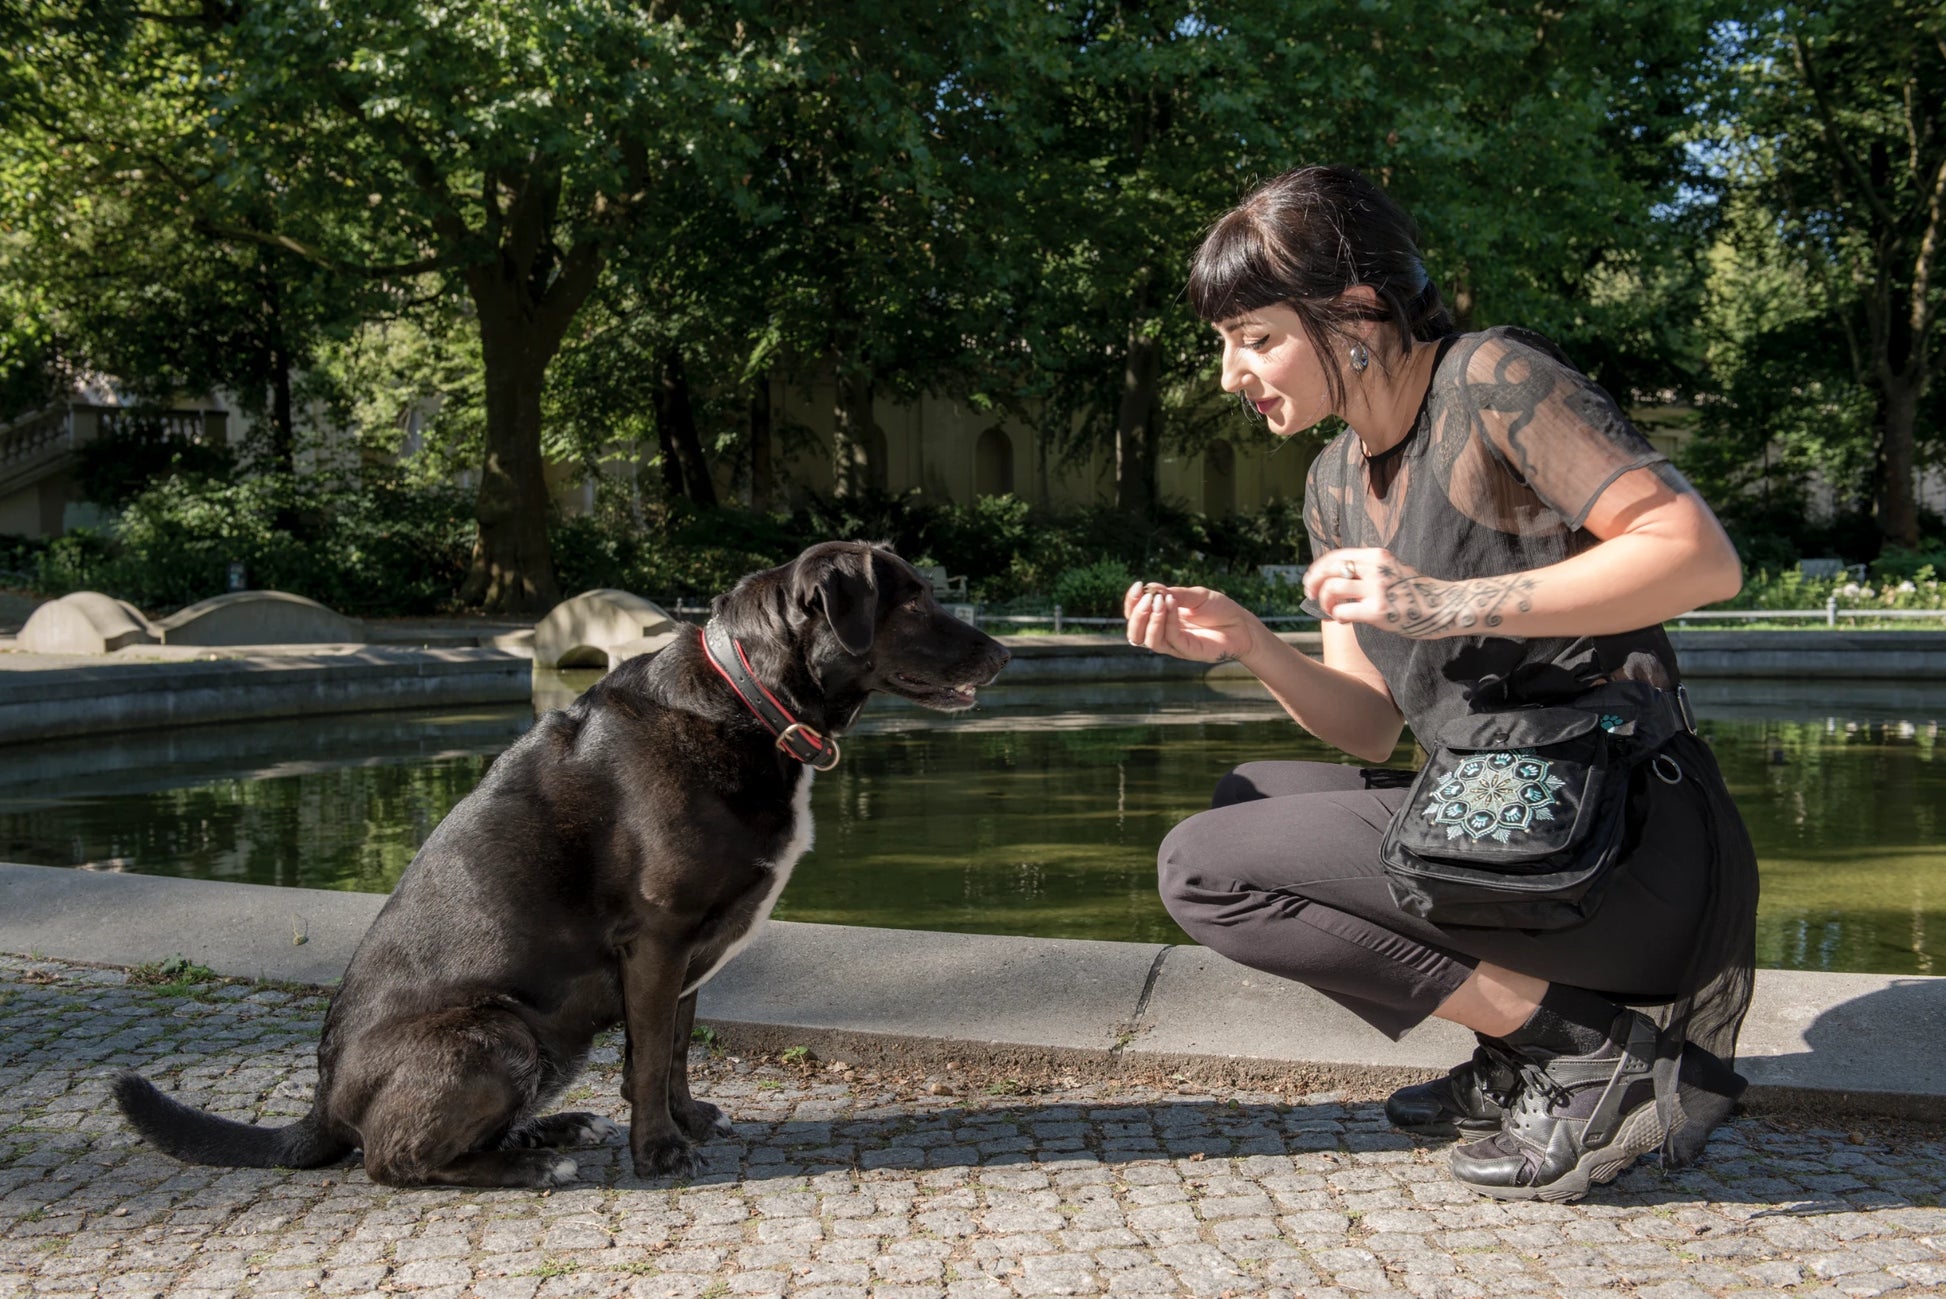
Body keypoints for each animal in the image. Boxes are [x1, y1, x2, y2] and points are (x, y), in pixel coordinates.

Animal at [113, 540, 1011, 1190]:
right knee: (391, 1159)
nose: (1003, 653)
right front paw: (661, 1153)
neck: (750, 700)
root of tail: (324, 1101)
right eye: (913, 600)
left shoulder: (689, 951)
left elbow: (673, 1051)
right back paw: (537, 1161)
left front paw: (688, 1121)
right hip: (502, 1031)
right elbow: (647, 1057)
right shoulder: (658, 937)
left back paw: (551, 1127)